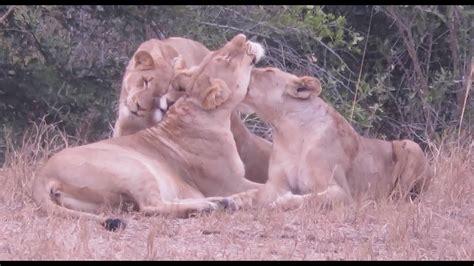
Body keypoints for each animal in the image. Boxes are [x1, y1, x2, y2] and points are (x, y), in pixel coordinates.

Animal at [224, 67, 432, 211]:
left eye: (268, 71)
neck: (288, 132)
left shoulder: (342, 193)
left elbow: (313, 198)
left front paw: (283, 201)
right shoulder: (276, 184)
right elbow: (252, 192)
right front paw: (230, 201)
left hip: (411, 146)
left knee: (402, 196)